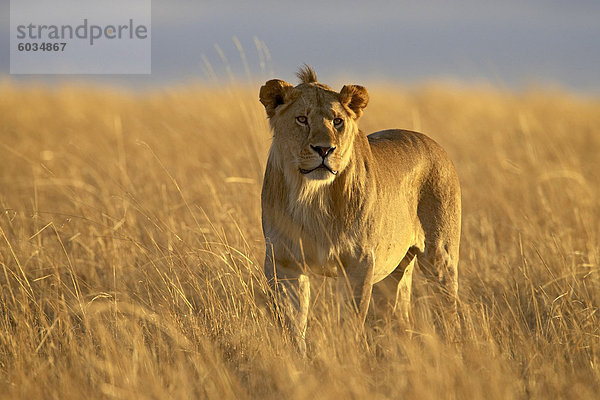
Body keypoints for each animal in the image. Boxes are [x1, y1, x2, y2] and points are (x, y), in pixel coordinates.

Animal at [260, 66, 462, 354]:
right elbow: (292, 323)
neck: (311, 196)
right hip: (393, 273)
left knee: (447, 313)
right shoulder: (283, 262)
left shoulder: (359, 261)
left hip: (440, 258)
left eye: (337, 121)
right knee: (399, 318)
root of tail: (434, 144)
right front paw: (296, 359)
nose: (324, 149)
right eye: (301, 119)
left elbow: (350, 323)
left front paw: (348, 357)